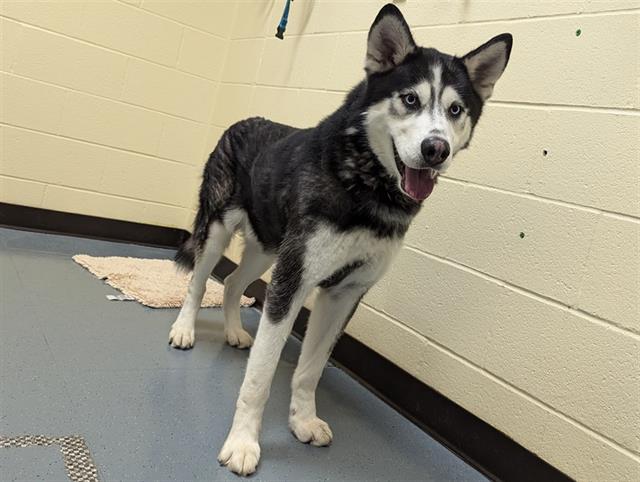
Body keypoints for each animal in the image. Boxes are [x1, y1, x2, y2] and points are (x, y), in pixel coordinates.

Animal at [168, 3, 512, 476]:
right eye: (410, 99)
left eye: (456, 109)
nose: (435, 149)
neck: (368, 188)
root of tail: (244, 120)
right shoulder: (293, 282)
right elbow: (260, 377)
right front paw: (242, 443)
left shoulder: (345, 291)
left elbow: (310, 369)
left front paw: (303, 421)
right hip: (219, 231)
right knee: (200, 281)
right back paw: (184, 329)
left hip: (268, 250)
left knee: (235, 283)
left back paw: (235, 331)